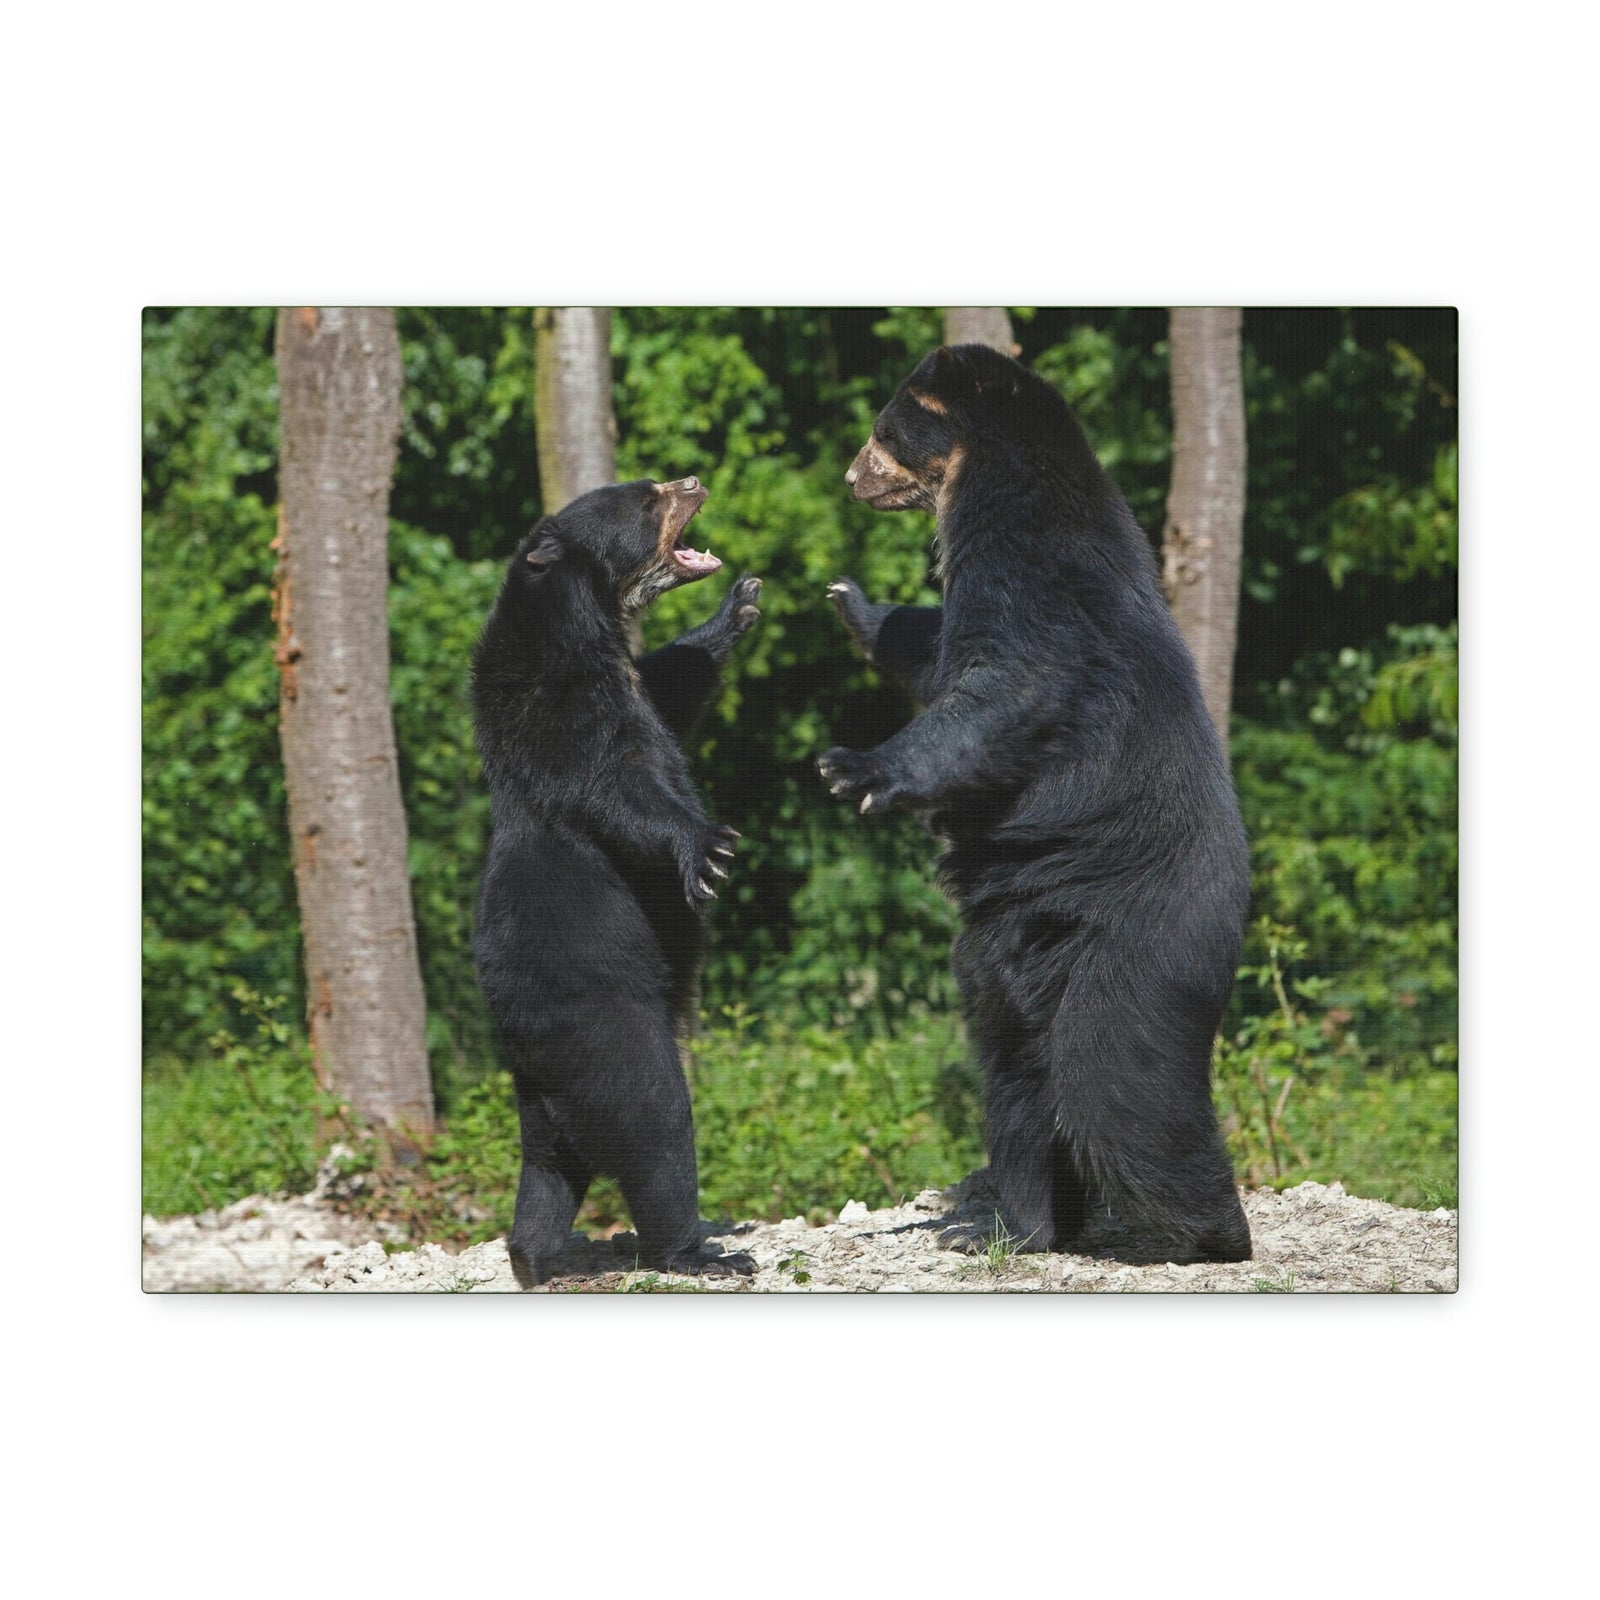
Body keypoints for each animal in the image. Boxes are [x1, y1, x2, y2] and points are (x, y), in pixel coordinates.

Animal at [472, 475, 762, 1286]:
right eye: (643, 498)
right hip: (606, 1027)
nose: (692, 480)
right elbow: (618, 786)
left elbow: (675, 685)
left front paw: (737, 609)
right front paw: (709, 848)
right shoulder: (556, 708)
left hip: (541, 1101)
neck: (584, 630)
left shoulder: (633, 684)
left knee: (547, 1173)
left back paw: (534, 1256)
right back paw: (696, 1250)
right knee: (657, 1127)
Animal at [818, 343, 1252, 1263]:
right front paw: (853, 602)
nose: (850, 478)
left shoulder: (1039, 582)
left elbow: (1006, 687)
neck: (989, 484)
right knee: (1017, 1080)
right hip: (1007, 957)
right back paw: (1015, 1223)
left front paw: (852, 767)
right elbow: (933, 654)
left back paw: (1203, 1228)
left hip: (1136, 945)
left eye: (884, 429)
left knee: (1115, 1080)